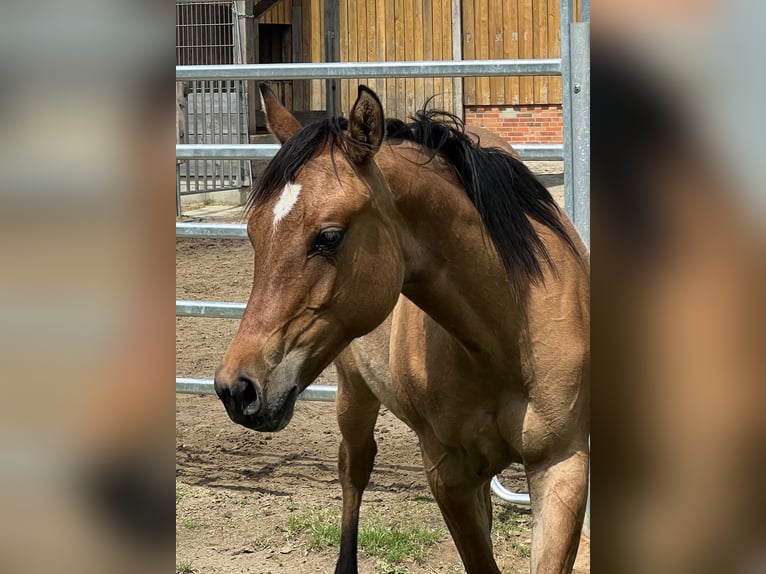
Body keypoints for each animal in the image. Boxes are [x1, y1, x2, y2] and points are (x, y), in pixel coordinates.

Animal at [214, 83, 590, 573]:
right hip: (354, 396)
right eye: (255, 234)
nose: (236, 389)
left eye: (328, 237)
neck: (506, 339)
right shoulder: (447, 472)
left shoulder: (562, 467)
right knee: (354, 468)